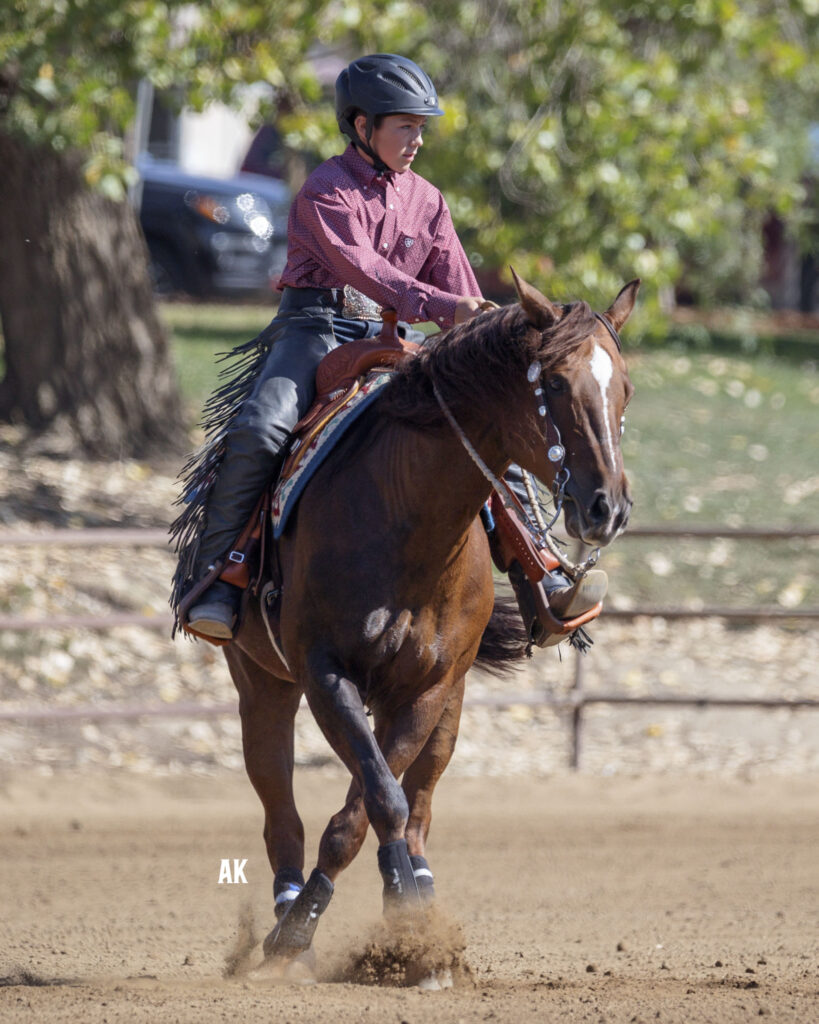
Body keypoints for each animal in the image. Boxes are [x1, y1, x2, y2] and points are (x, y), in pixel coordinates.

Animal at [223, 271, 638, 968]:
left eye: (624, 386)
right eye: (553, 383)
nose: (607, 506)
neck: (406, 517)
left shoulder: (430, 685)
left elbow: (372, 805)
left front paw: (409, 924)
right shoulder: (323, 673)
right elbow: (373, 799)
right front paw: (298, 930)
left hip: (448, 698)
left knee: (417, 806)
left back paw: (416, 890)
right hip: (262, 683)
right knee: (282, 807)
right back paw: (289, 916)